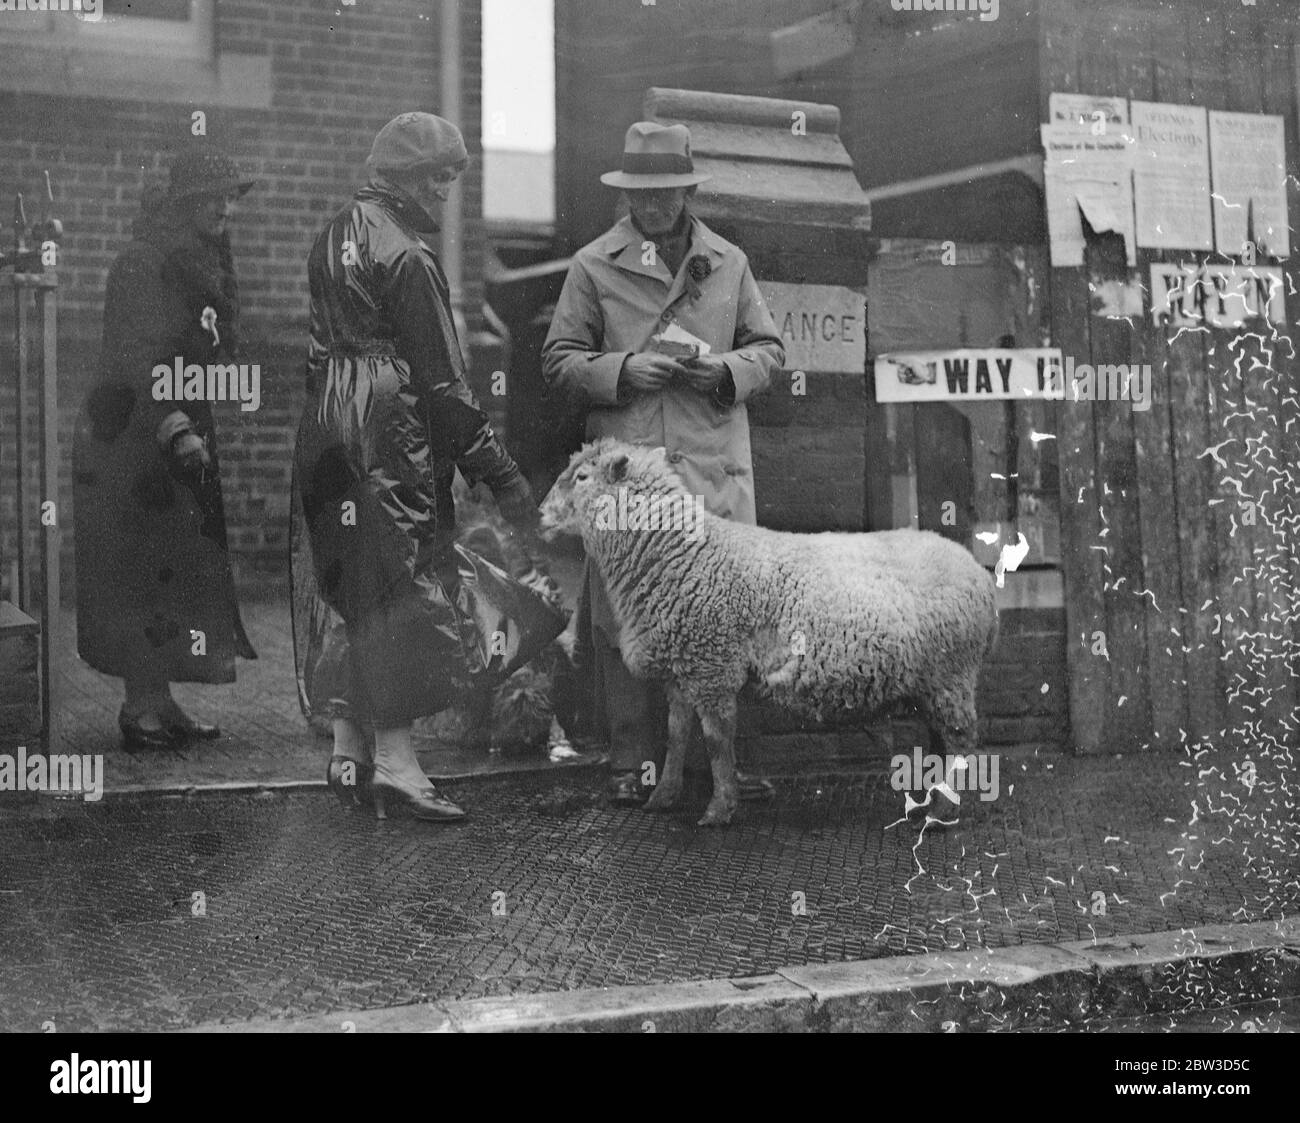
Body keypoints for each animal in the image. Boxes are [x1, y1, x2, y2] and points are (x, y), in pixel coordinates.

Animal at [535, 439, 993, 826]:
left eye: (581, 477)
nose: (539, 513)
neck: (680, 554)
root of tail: (975, 568)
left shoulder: (713, 665)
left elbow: (717, 742)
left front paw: (719, 808)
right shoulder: (682, 668)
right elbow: (676, 736)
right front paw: (663, 796)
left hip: (951, 674)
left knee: (961, 740)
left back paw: (943, 811)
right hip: (934, 679)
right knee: (943, 740)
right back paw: (933, 799)